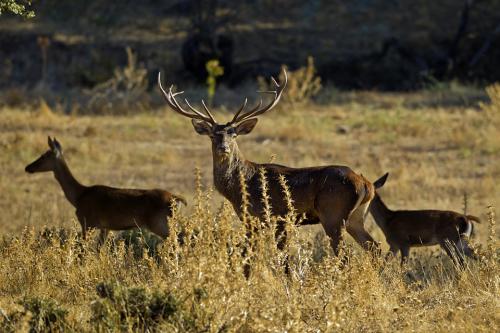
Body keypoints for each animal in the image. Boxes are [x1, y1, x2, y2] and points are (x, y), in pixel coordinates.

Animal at [25, 136, 186, 243]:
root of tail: (176, 198)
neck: (78, 196)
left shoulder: (87, 222)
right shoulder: (105, 227)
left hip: (160, 223)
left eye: (44, 155)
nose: (28, 167)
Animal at [158, 68, 376, 254]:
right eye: (212, 135)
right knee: (375, 248)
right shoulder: (254, 220)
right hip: (355, 217)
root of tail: (366, 184)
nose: (223, 147)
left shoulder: (273, 217)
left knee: (345, 254)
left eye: (233, 134)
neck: (240, 187)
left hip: (333, 213)